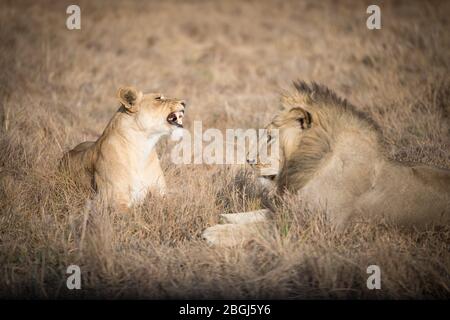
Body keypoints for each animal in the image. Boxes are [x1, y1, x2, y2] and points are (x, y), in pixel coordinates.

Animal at [204, 81, 450, 246]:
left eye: (270, 137)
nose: (248, 160)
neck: (314, 165)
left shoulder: (316, 227)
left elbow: (261, 227)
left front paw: (215, 233)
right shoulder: (297, 209)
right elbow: (263, 214)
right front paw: (227, 217)